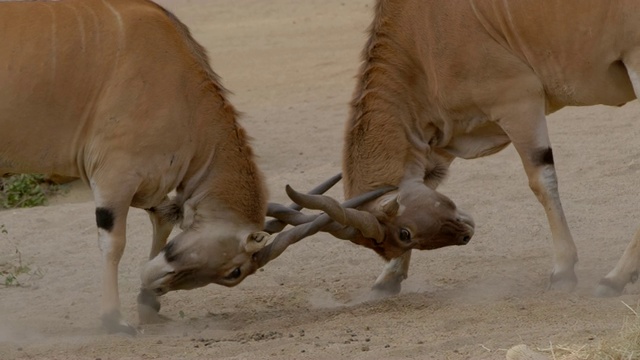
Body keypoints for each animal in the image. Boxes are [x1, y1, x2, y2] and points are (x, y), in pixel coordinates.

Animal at [0, 0, 274, 334]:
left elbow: (164, 219)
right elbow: (114, 242)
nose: (155, 285)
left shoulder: (148, 184)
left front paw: (148, 306)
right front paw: (114, 319)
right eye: (235, 272)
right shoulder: (115, 176)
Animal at [282, 0, 640, 298]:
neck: (420, 39)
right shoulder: (442, 136)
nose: (466, 233)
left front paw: (563, 271)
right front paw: (387, 279)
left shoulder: (518, 103)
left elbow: (542, 182)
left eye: (405, 233)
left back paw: (614, 278)